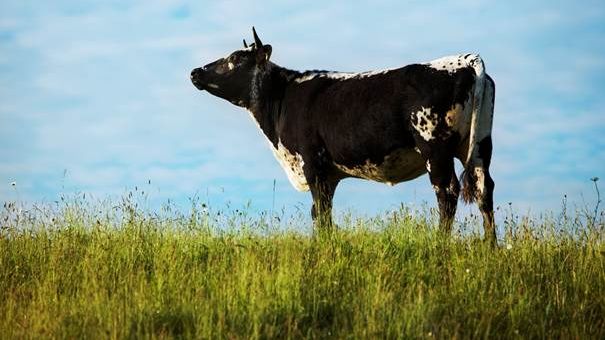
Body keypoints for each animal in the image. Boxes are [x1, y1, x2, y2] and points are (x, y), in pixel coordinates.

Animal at [190, 27, 496, 244]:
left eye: (235, 58)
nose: (195, 71)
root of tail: (465, 61)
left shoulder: (312, 163)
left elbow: (321, 212)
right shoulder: (330, 174)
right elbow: (321, 213)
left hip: (435, 146)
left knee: (447, 192)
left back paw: (439, 244)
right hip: (479, 145)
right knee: (484, 189)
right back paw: (490, 247)